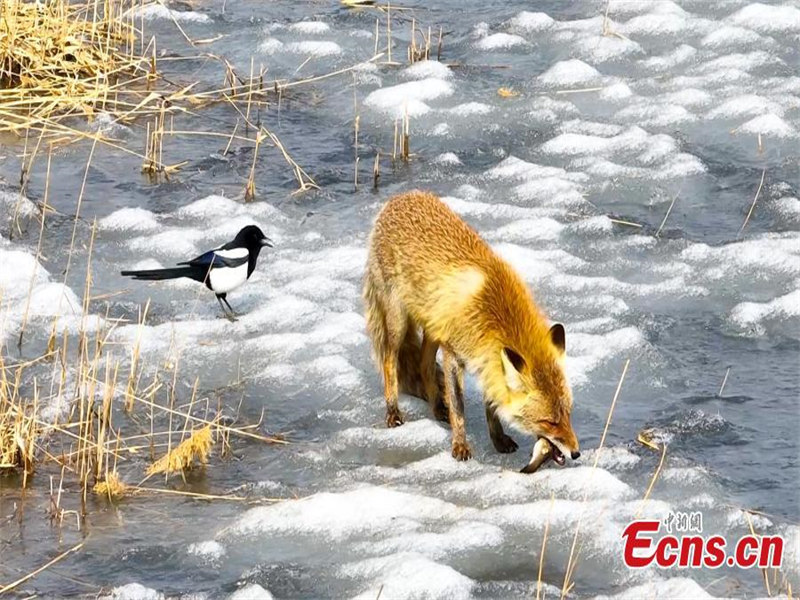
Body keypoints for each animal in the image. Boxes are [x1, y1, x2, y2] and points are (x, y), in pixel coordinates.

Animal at [364, 191, 580, 464]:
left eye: (568, 414)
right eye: (549, 421)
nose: (576, 453)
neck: (491, 310)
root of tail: (399, 197)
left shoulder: (487, 357)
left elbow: (491, 406)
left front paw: (498, 440)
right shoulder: (454, 355)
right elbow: (459, 408)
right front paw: (460, 445)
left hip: (433, 328)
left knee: (424, 366)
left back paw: (437, 408)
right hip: (397, 323)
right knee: (390, 362)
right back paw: (393, 410)